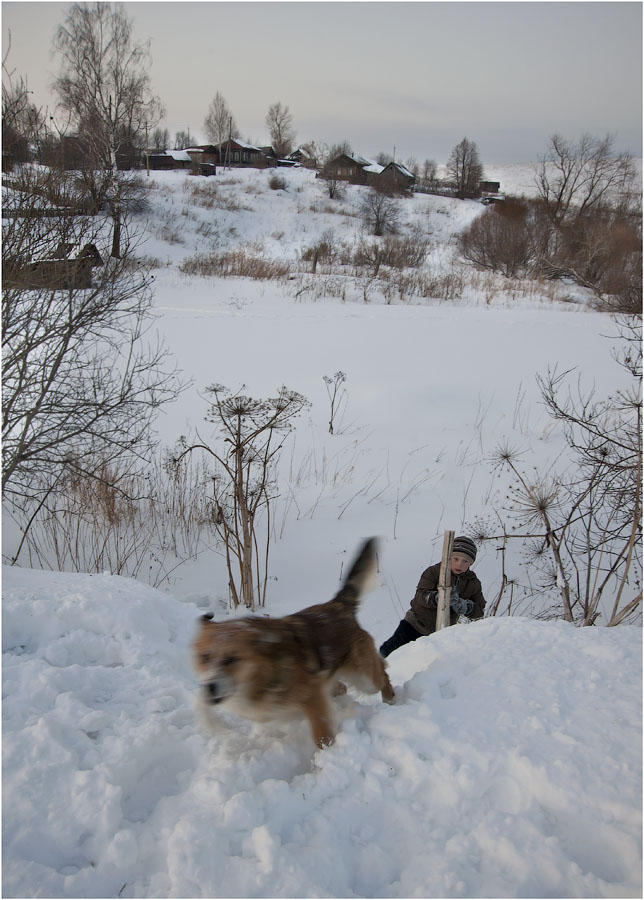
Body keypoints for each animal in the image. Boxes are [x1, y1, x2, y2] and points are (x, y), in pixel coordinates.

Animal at [191, 536, 392, 748]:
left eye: (231, 659)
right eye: (204, 657)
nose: (210, 687)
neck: (261, 674)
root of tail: (339, 604)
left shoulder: (314, 699)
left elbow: (322, 735)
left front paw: (325, 754)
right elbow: (200, 703)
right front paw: (210, 723)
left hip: (365, 678)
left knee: (382, 673)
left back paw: (391, 700)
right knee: (344, 686)